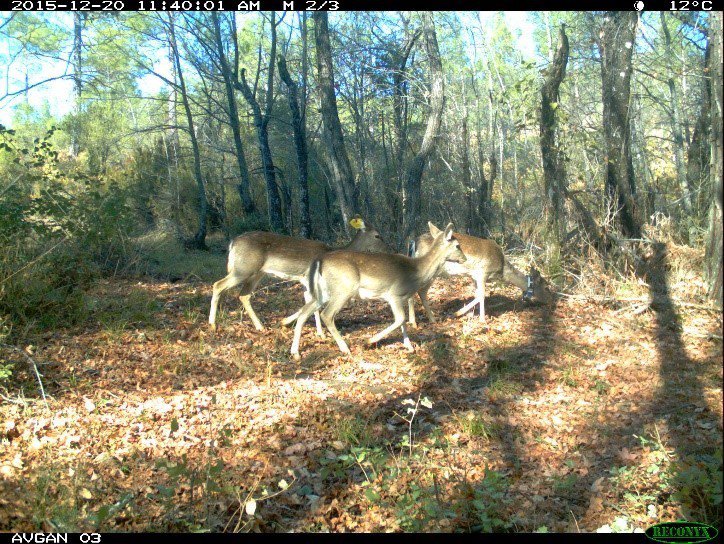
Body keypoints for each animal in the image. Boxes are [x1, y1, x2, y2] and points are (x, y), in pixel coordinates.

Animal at [209, 216, 390, 334]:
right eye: (377, 235)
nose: (390, 248)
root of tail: (232, 243)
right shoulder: (310, 278)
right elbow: (313, 304)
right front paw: (320, 333)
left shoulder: (306, 281)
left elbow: (309, 302)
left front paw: (288, 323)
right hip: (243, 268)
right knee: (218, 285)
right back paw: (212, 324)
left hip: (256, 272)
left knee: (244, 295)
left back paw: (260, 326)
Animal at [292, 223, 466, 360]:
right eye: (458, 245)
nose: (464, 258)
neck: (417, 271)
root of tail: (319, 261)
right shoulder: (394, 294)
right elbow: (400, 319)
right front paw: (369, 341)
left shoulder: (401, 298)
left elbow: (403, 321)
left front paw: (409, 346)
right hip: (343, 289)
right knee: (326, 314)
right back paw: (345, 348)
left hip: (323, 292)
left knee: (304, 311)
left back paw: (295, 352)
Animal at [404, 223, 552, 326]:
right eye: (546, 287)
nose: (552, 300)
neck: (501, 271)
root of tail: (413, 243)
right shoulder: (482, 272)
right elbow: (482, 295)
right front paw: (480, 319)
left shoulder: (473, 276)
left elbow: (476, 294)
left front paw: (464, 314)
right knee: (418, 292)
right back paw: (415, 322)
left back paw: (431, 319)